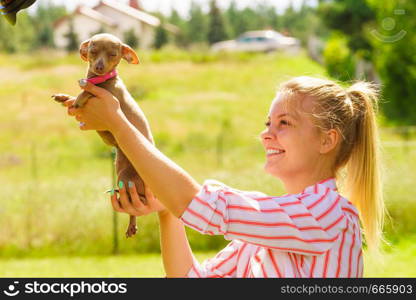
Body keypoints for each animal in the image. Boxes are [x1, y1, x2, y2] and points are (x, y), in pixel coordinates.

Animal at [52, 34, 154, 238]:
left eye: (113, 55)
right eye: (93, 51)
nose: (99, 67)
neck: (99, 80)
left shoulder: (107, 94)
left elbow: (86, 91)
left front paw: (78, 98)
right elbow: (77, 94)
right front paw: (64, 97)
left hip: (127, 178)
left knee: (139, 200)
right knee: (134, 209)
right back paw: (131, 226)